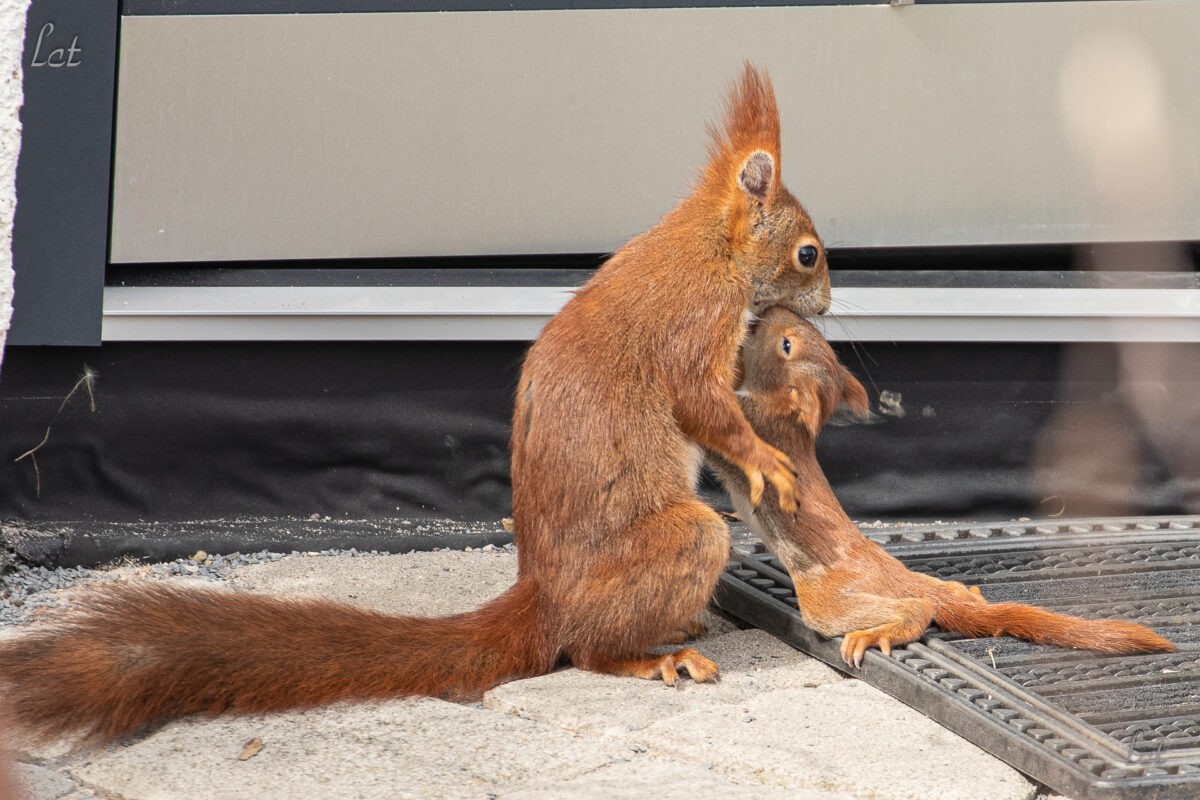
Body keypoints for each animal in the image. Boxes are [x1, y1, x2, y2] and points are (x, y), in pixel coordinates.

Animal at [0, 67, 835, 743]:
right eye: (808, 253)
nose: (829, 303)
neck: (710, 246)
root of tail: (544, 601)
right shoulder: (693, 323)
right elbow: (705, 406)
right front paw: (767, 460)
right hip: (682, 544)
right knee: (588, 649)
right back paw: (653, 658)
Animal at [705, 309, 1176, 666]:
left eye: (787, 345)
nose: (770, 312)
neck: (786, 421)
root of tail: (900, 578)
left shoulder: (753, 427)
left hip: (831, 601)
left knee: (915, 610)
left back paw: (879, 632)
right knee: (947, 596)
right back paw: (969, 593)